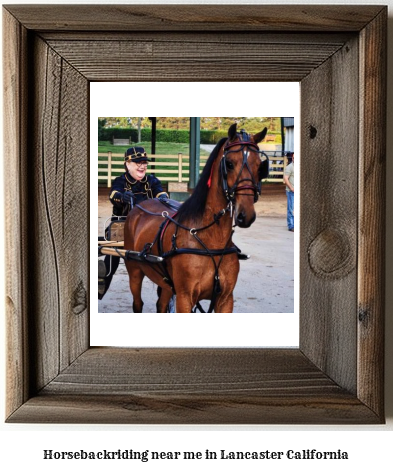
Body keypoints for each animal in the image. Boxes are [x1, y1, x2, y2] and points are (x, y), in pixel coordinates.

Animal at [124, 124, 268, 312]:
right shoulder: (185, 298)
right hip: (134, 271)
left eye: (259, 167)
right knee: (137, 302)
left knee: (161, 304)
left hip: (166, 285)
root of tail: (140, 205)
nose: (246, 215)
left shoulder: (225, 299)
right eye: (229, 164)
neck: (211, 241)